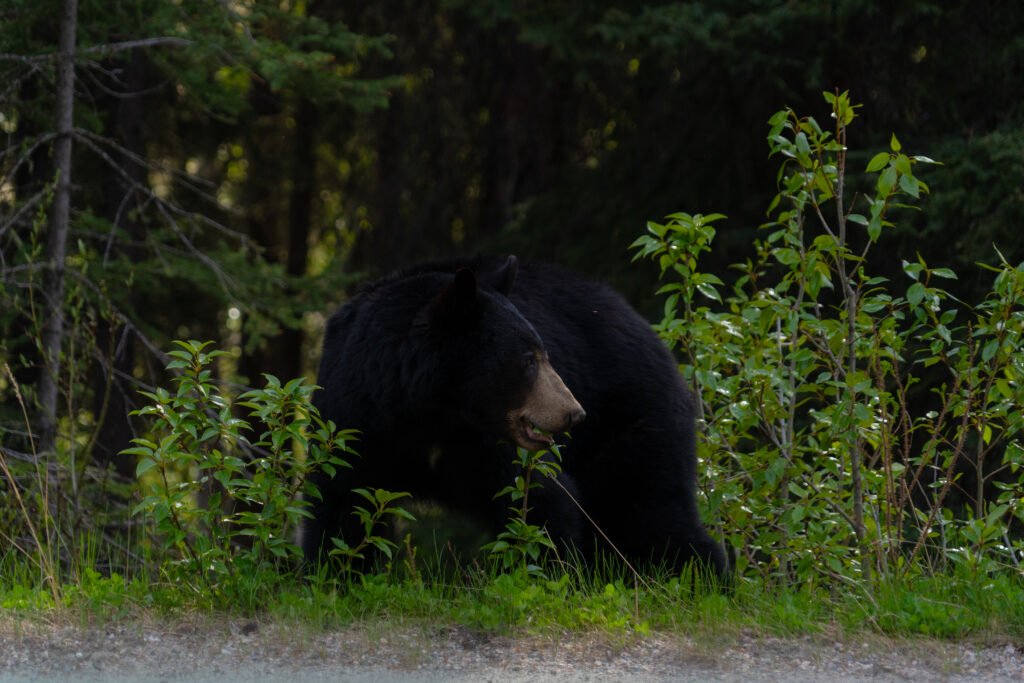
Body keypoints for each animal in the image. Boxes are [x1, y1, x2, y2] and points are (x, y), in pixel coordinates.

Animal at [301, 255, 728, 580]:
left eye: (544, 352)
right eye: (527, 359)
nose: (574, 413)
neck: (433, 416)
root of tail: (652, 331)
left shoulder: (490, 446)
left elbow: (539, 499)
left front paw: (545, 576)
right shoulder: (356, 414)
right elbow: (342, 498)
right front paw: (334, 575)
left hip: (634, 415)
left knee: (650, 505)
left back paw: (704, 578)